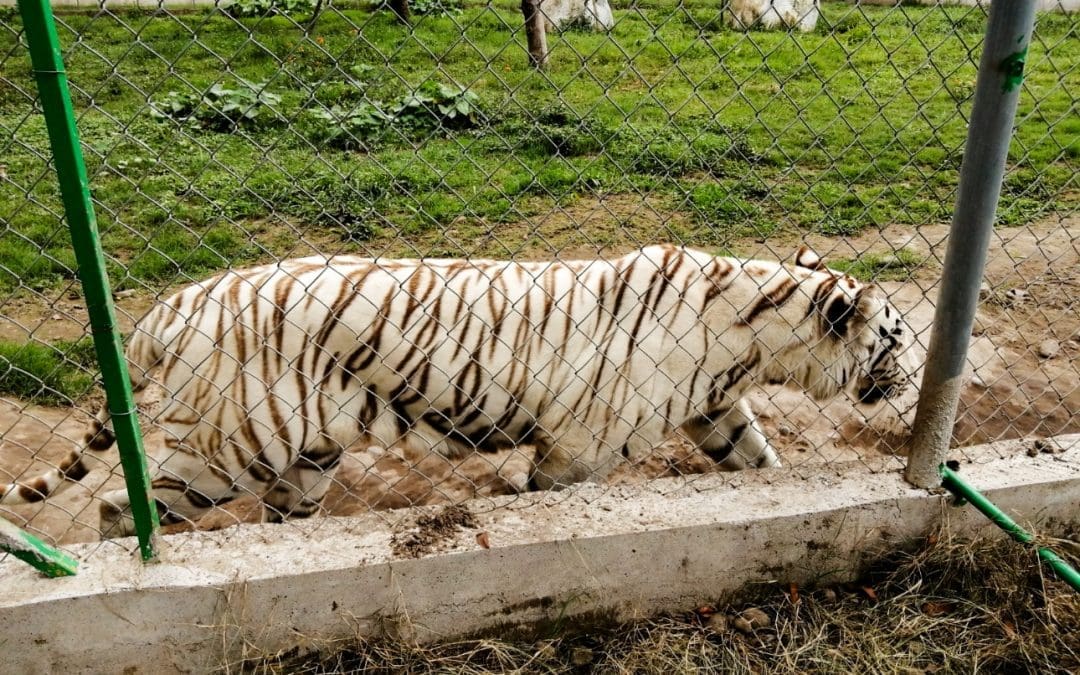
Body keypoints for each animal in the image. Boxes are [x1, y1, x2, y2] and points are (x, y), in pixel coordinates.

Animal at [0, 245, 913, 537]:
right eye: (898, 338)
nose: (910, 380)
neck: (754, 336)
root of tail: (174, 302)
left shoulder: (715, 407)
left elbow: (757, 462)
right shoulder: (580, 447)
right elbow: (548, 495)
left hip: (305, 456)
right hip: (231, 445)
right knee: (120, 507)